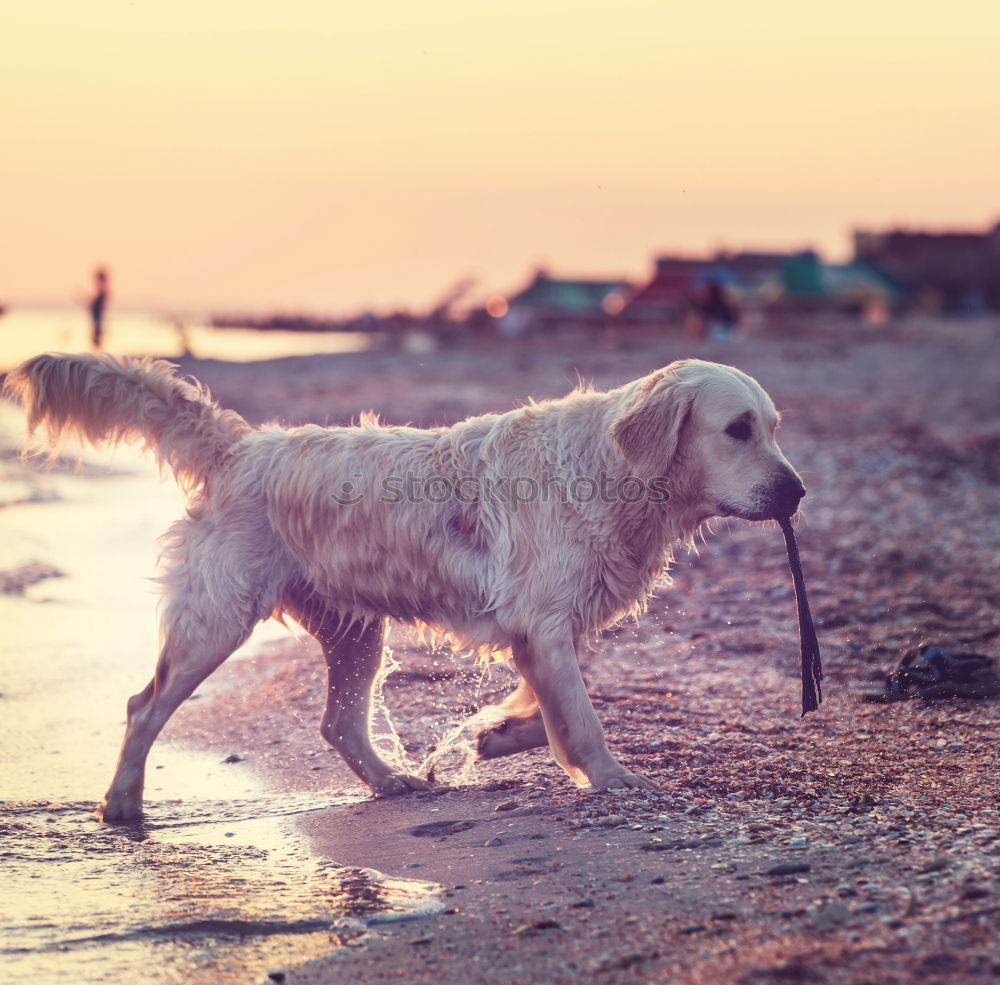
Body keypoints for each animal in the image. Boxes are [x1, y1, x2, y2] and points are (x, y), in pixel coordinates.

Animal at [5, 354, 804, 824]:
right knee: (144, 704)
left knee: (339, 722)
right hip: (218, 617)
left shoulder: (543, 620)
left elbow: (552, 697)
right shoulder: (541, 616)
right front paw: (610, 778)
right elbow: (580, 715)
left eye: (773, 427)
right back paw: (121, 805)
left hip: (358, 629)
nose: (797, 492)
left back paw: (392, 781)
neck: (615, 470)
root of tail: (242, 445)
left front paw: (497, 733)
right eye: (737, 428)